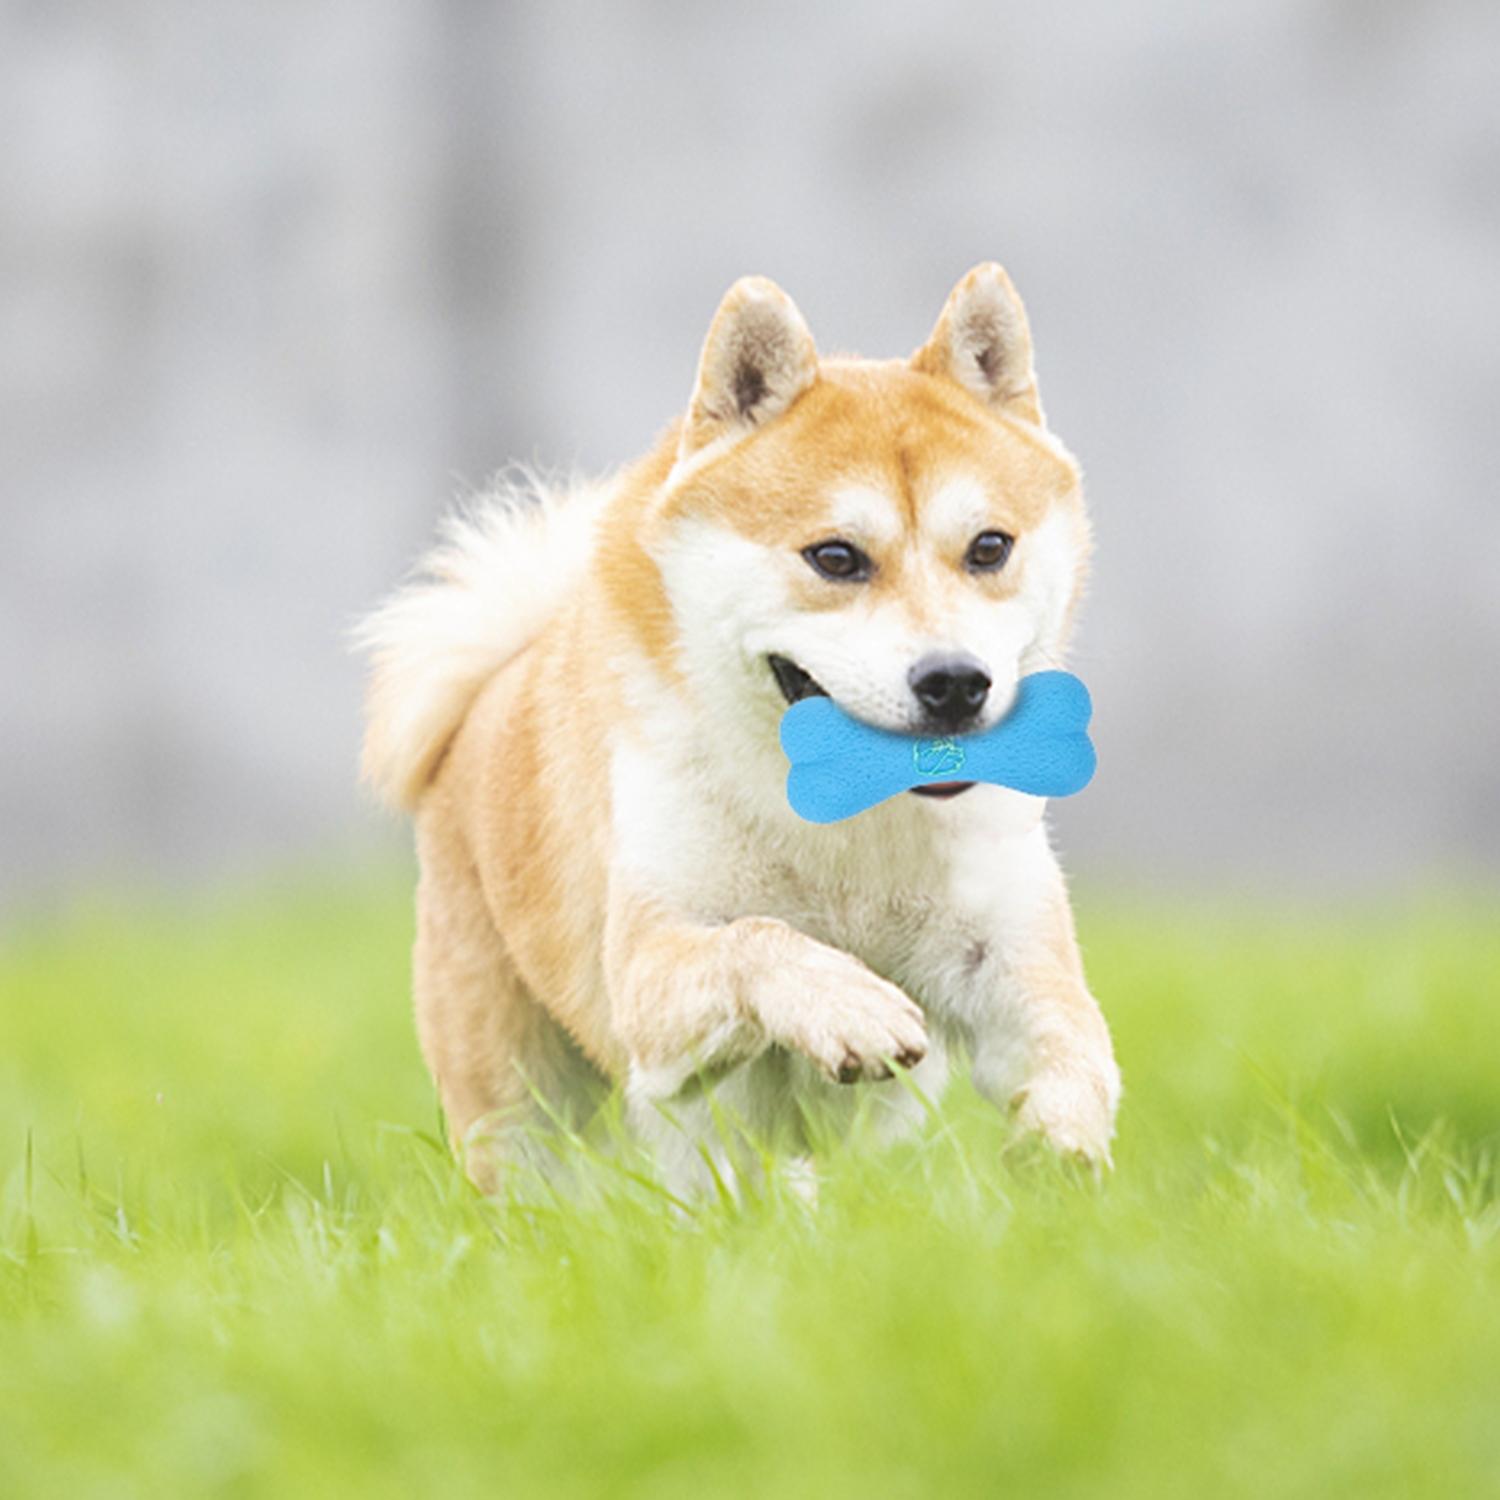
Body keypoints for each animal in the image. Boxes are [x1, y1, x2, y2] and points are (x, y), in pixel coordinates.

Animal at [357, 261, 1122, 1194]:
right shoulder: (648, 973)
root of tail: (496, 682)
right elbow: (757, 942)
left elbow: (1076, 1042)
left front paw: (1061, 1144)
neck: (848, 830)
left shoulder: (1006, 947)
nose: (954, 683)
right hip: (522, 1096)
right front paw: (846, 1003)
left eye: (989, 548)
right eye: (835, 557)